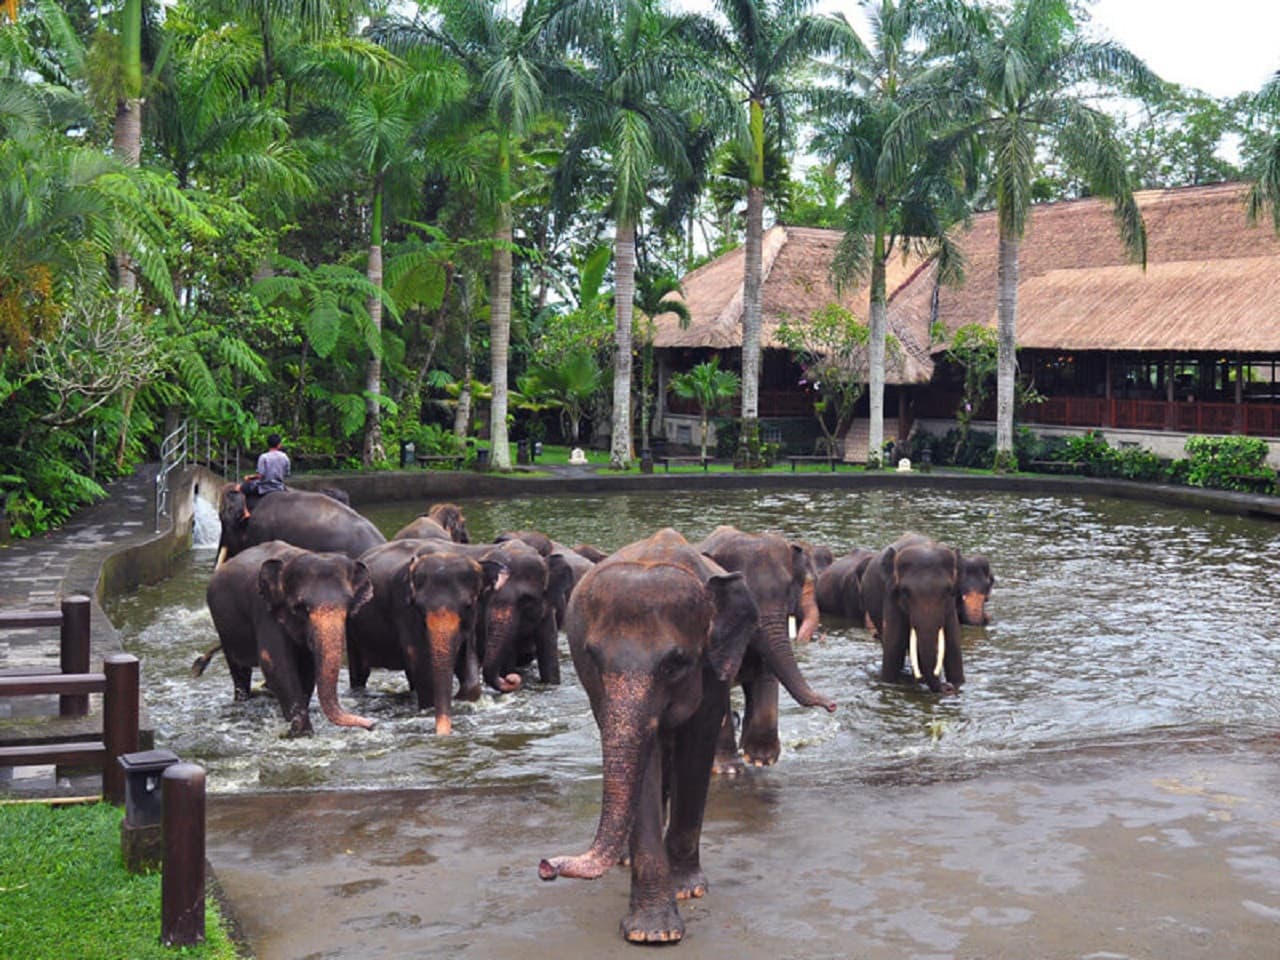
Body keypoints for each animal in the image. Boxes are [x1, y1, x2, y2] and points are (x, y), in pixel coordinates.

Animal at [202, 541, 376, 736]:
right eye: (300, 607)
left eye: (348, 607)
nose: (372, 724)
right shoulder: (265, 610)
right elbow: (275, 662)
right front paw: (302, 733)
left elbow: (307, 668)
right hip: (223, 628)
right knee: (239, 670)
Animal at [347, 539, 507, 734]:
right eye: (419, 608)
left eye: (469, 606)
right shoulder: (403, 610)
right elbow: (419, 660)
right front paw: (431, 707)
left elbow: (468, 656)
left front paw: (462, 699)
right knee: (360, 672)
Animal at [538, 528, 766, 943]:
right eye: (592, 657)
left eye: (675, 663)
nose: (546, 866)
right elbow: (645, 759)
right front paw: (653, 933)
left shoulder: (711, 664)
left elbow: (697, 744)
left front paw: (687, 890)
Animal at [697, 525, 834, 771]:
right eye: (745, 591)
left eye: (788, 589)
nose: (832, 705)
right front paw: (727, 768)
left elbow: (767, 674)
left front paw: (761, 760)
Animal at [859, 534, 964, 693]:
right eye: (905, 591)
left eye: (949, 590)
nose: (947, 687)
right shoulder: (891, 596)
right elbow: (893, 648)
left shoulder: (950, 607)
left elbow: (954, 646)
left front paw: (957, 683)